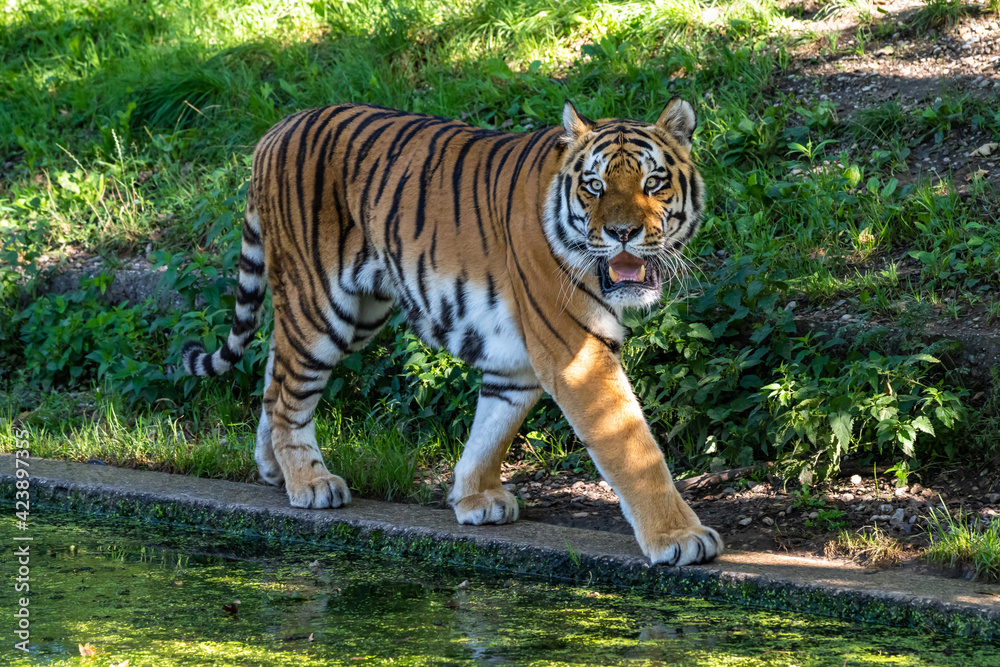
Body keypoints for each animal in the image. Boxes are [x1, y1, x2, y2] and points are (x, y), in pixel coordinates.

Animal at [181, 99, 722, 566]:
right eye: (593, 186)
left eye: (653, 182)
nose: (623, 233)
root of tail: (275, 130)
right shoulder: (577, 350)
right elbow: (633, 448)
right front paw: (679, 537)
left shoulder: (519, 360)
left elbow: (493, 427)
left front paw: (474, 496)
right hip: (320, 306)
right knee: (289, 395)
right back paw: (310, 484)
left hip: (358, 311)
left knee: (275, 375)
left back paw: (273, 468)